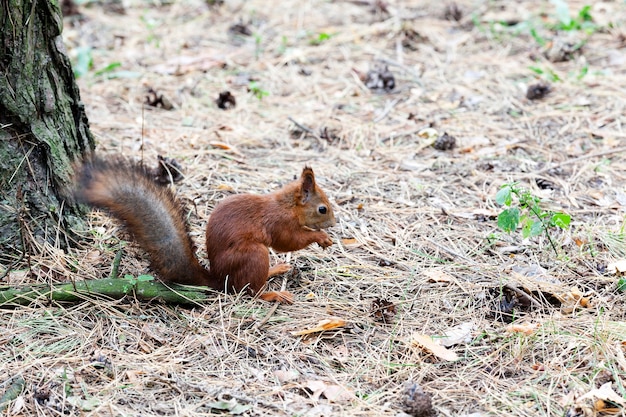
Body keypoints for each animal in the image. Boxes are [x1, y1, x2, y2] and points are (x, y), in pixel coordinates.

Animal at [74, 156, 336, 302]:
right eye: (322, 209)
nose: (333, 223)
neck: (288, 205)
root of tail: (220, 280)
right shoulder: (278, 222)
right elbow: (287, 242)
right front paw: (321, 237)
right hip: (253, 255)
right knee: (249, 291)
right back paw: (272, 294)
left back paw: (276, 270)